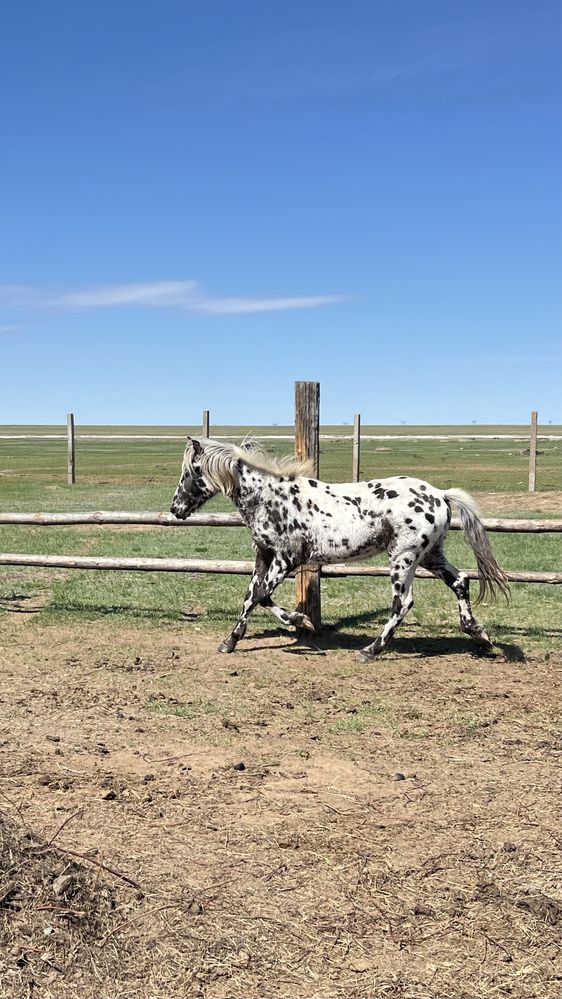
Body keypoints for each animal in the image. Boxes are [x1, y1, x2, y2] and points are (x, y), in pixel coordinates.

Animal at [168, 440, 506, 660]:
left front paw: (301, 621)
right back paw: (479, 634)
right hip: (431, 555)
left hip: (404, 558)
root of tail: (440, 494)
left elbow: (263, 596)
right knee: (460, 581)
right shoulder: (263, 555)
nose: (176, 508)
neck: (270, 497)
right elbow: (250, 597)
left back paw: (370, 651)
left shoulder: (287, 559)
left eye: (191, 471)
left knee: (403, 603)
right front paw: (230, 641)